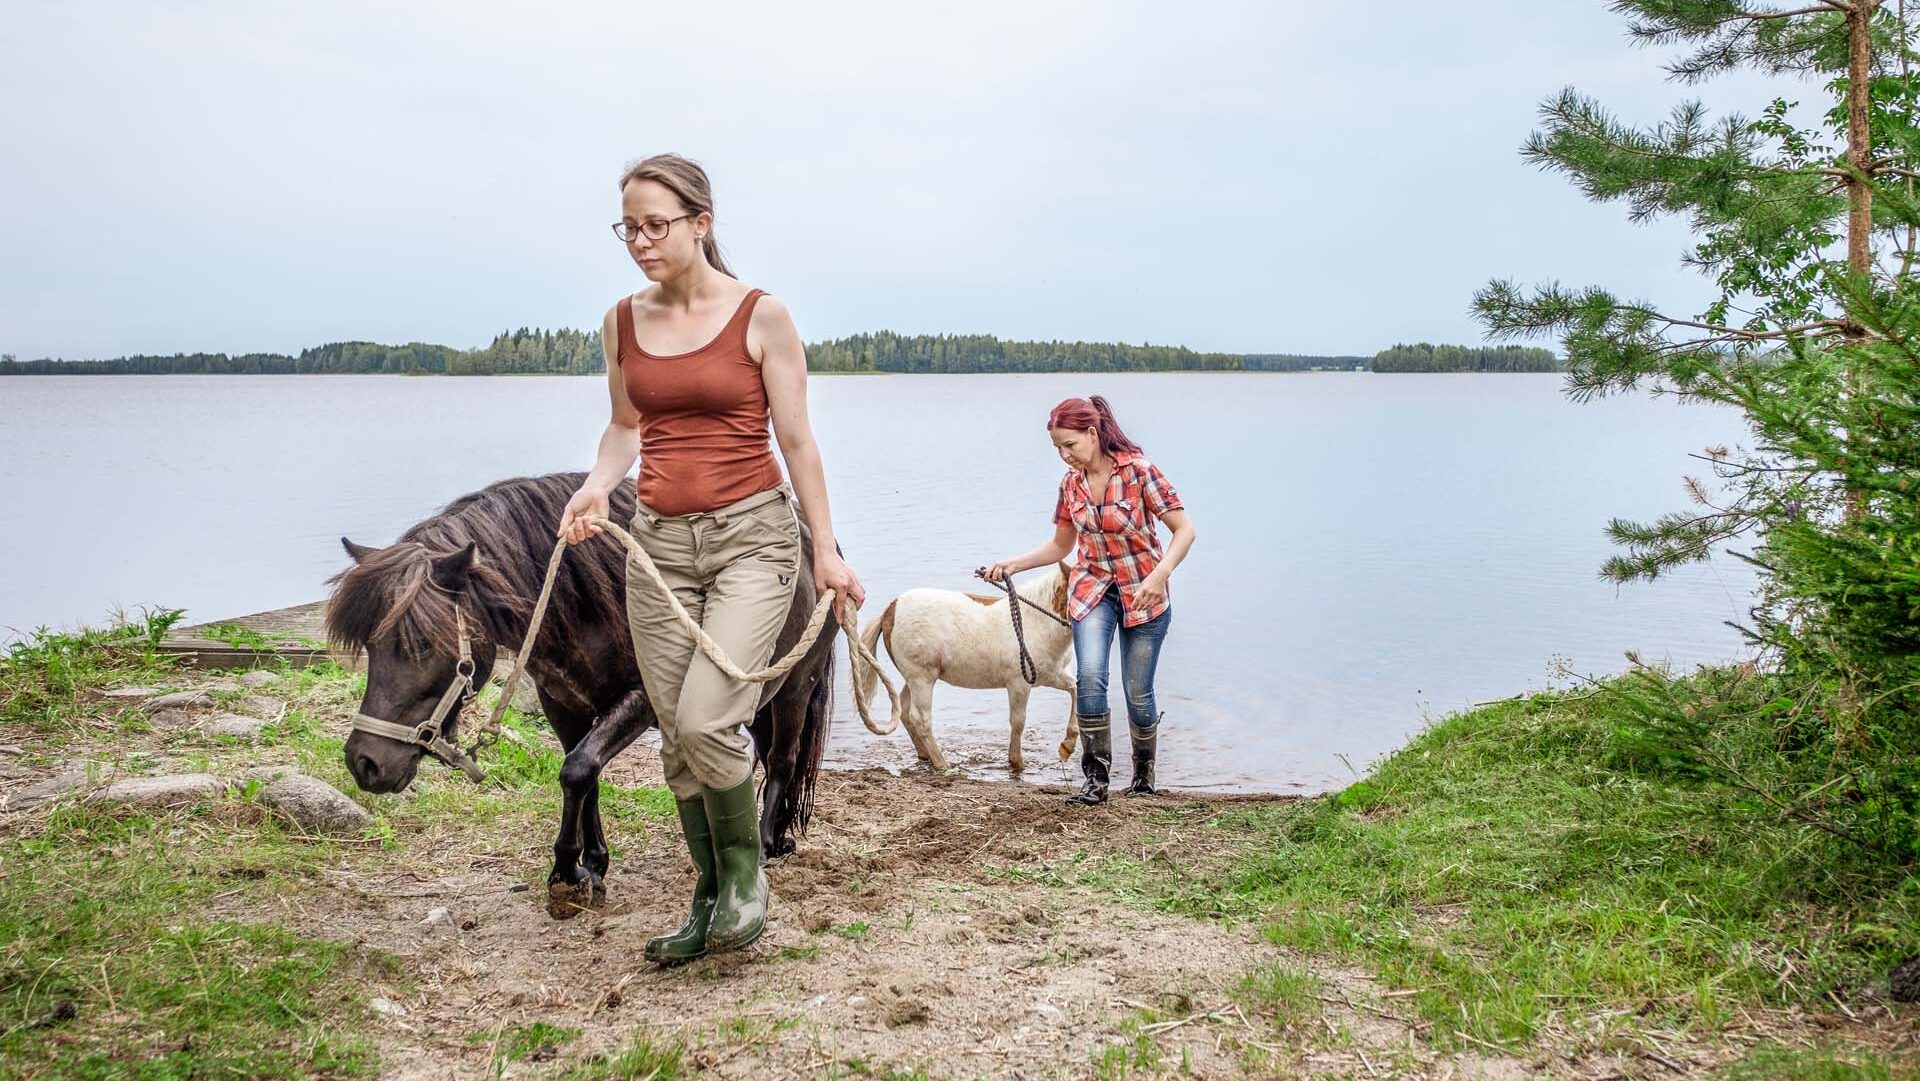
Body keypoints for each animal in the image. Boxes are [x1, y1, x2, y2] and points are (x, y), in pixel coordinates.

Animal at [324, 474, 833, 913]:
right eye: (371, 644)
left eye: (424, 644)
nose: (365, 762)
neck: (587, 604)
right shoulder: (562, 704)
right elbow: (584, 775)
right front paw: (593, 864)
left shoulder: (640, 701)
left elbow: (577, 770)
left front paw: (567, 871)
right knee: (764, 755)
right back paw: (778, 838)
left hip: (795, 688)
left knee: (783, 760)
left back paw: (764, 844)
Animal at [856, 568, 1082, 768]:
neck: (1034, 623)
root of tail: (890, 611)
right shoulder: (1019, 684)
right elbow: (1018, 722)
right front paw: (1016, 762)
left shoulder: (1052, 675)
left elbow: (1075, 689)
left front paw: (1068, 745)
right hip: (922, 678)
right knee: (920, 718)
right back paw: (942, 763)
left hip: (914, 678)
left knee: (904, 708)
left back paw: (925, 755)